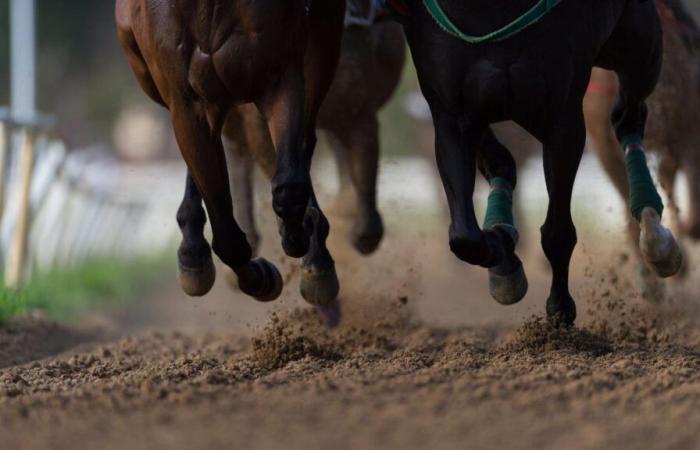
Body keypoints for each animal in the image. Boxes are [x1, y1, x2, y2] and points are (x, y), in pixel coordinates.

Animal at [116, 0, 348, 320]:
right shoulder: (187, 102)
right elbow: (226, 236)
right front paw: (261, 277)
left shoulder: (280, 74)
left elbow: (289, 185)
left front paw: (299, 237)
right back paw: (193, 251)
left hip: (323, 39)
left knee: (304, 139)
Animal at [392, 0, 688, 324]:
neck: (487, 11)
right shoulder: (451, 112)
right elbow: (464, 237)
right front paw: (505, 257)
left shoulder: (562, 117)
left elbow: (558, 231)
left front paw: (559, 308)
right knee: (501, 163)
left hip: (640, 48)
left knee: (628, 117)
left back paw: (657, 239)